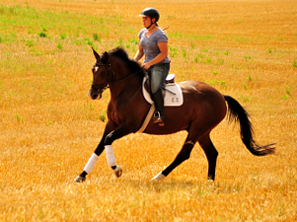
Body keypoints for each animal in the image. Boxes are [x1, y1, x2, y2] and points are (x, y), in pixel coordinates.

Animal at [73, 46, 274, 182]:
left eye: (104, 71)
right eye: (93, 69)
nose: (93, 94)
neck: (125, 90)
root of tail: (220, 95)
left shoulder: (129, 126)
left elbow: (108, 140)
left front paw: (116, 169)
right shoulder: (112, 123)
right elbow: (100, 145)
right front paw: (81, 176)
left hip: (197, 130)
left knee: (183, 154)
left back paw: (158, 177)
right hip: (203, 132)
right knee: (212, 153)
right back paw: (210, 181)